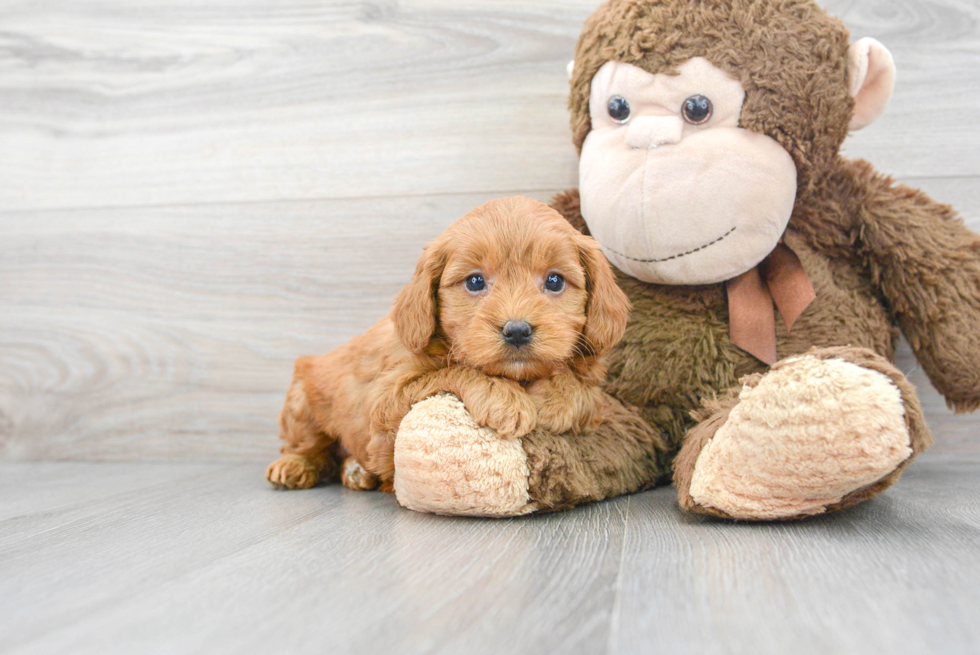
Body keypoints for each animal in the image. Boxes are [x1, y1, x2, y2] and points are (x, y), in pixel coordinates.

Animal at [264, 197, 632, 494]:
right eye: (475, 281)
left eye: (555, 281)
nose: (517, 331)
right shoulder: (385, 402)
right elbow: (453, 371)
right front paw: (504, 399)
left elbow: (586, 392)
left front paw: (556, 398)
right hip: (302, 398)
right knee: (306, 443)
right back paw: (295, 466)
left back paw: (355, 471)